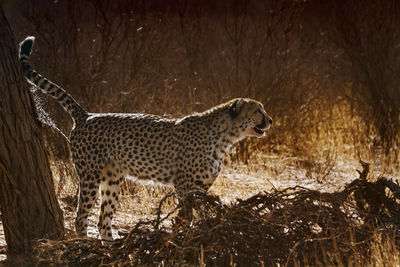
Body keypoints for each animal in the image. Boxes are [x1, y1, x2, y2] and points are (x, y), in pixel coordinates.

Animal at [20, 35, 274, 241]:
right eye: (258, 111)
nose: (271, 120)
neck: (225, 138)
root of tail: (87, 114)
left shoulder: (202, 186)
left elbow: (198, 213)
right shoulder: (184, 184)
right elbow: (185, 216)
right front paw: (181, 235)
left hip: (113, 178)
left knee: (103, 220)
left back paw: (111, 248)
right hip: (90, 175)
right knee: (81, 216)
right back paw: (87, 245)